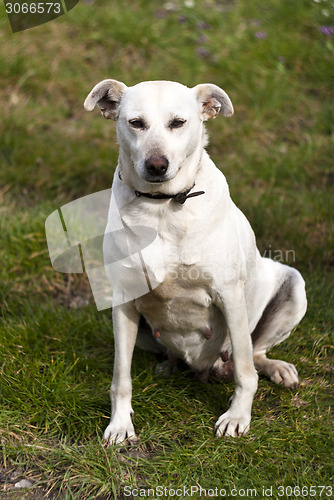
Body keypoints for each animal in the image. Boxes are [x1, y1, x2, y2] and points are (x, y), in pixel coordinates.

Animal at [84, 79, 308, 446]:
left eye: (178, 123)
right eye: (136, 123)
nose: (156, 165)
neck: (162, 207)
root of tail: (206, 368)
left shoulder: (229, 295)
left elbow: (245, 370)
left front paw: (237, 418)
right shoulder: (124, 301)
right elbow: (121, 377)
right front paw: (119, 425)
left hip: (293, 286)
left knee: (255, 353)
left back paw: (276, 368)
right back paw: (170, 364)